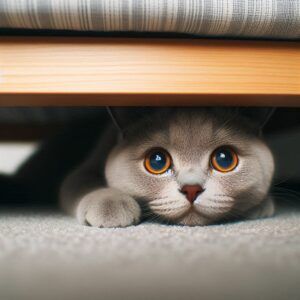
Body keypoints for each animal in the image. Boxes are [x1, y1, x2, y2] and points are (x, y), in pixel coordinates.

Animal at [59, 108, 276, 227]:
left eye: (224, 159)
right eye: (157, 161)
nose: (191, 189)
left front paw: (260, 205)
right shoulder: (83, 171)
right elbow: (85, 184)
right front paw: (111, 207)